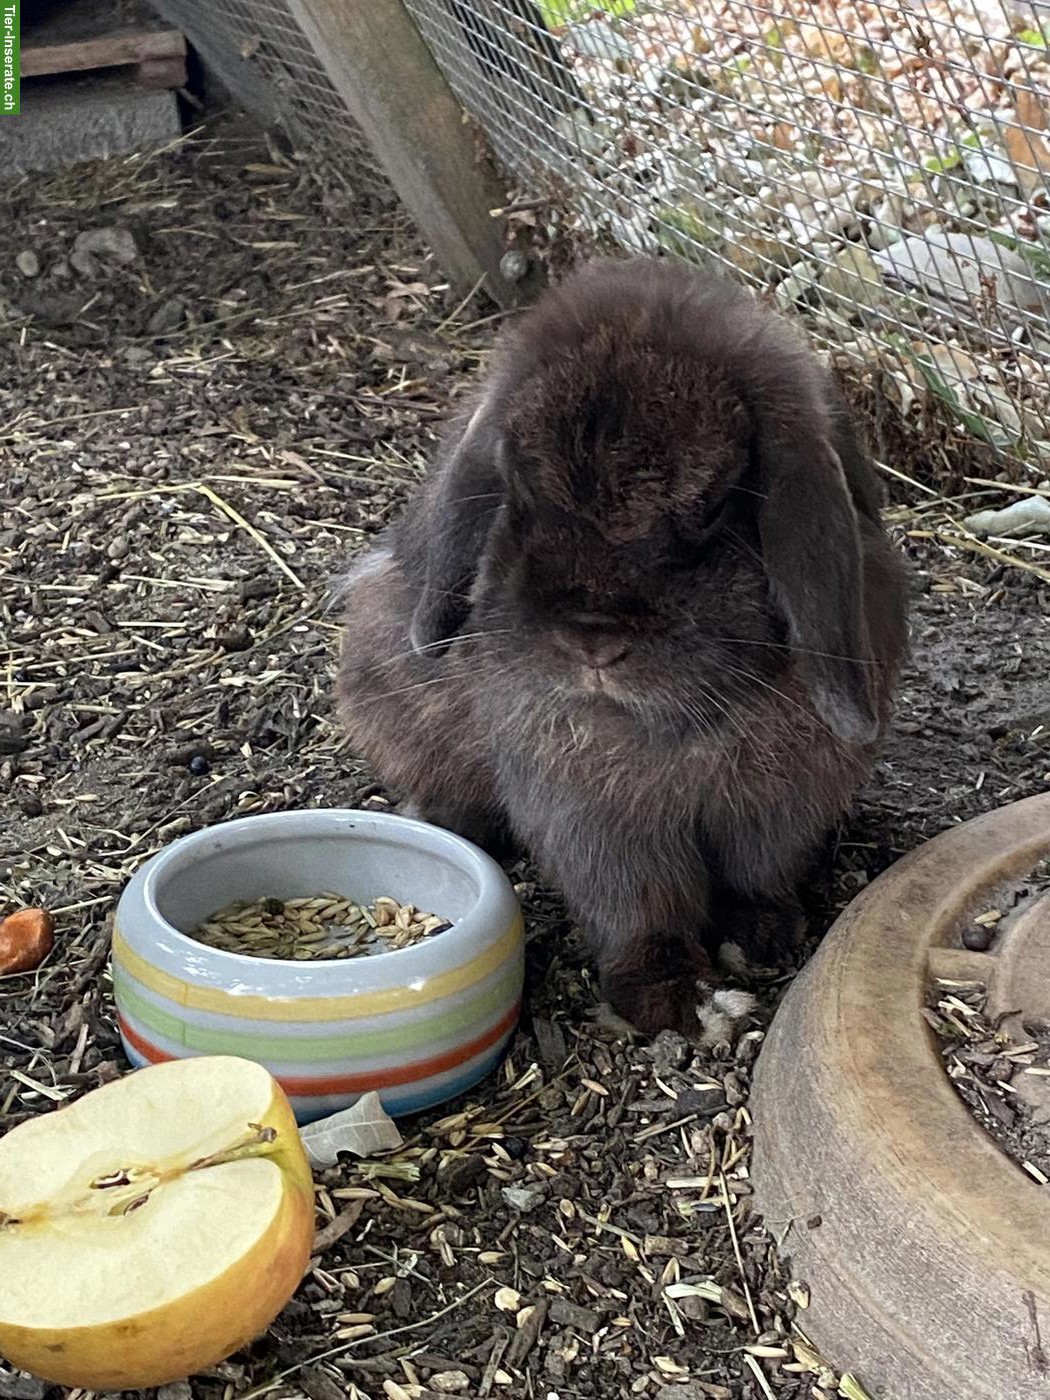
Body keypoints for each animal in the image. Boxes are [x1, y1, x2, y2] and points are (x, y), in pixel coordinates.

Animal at [336, 257, 909, 1042]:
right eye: (518, 491)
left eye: (714, 505)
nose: (592, 638)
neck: (672, 728)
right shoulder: (593, 819)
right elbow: (639, 908)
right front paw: (671, 999)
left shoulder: (781, 803)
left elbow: (758, 872)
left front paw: (760, 937)